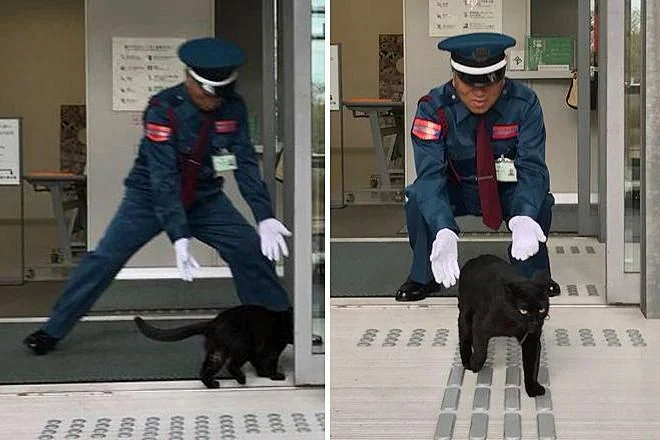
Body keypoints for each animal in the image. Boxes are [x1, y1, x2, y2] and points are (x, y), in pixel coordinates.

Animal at [135, 306, 292, 388]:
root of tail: (213, 323)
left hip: (218, 352)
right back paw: (241, 379)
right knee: (231, 365)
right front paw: (275, 376)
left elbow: (259, 363)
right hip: (242, 347)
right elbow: (270, 364)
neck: (283, 321)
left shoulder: (258, 351)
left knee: (205, 370)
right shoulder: (271, 350)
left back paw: (212, 384)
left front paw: (262, 373)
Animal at [456, 253, 548, 398]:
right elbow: (481, 351)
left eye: (541, 310)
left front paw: (533, 387)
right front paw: (475, 364)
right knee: (464, 338)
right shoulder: (480, 326)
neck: (514, 324)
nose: (534, 322)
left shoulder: (531, 339)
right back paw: (466, 361)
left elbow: (532, 364)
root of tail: (474, 259)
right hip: (465, 314)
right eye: (523, 310)